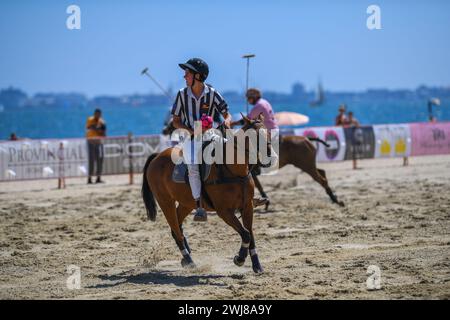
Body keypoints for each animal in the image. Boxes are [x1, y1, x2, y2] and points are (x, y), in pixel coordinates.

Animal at [144, 115, 268, 272]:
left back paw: (186, 257)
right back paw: (189, 260)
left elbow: (250, 234)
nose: (269, 155)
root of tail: (156, 157)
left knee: (177, 228)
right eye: (255, 135)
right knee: (176, 230)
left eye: (269, 132)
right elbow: (245, 234)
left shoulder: (247, 206)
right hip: (165, 202)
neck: (233, 170)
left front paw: (257, 265)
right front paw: (239, 258)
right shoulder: (224, 211)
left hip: (186, 203)